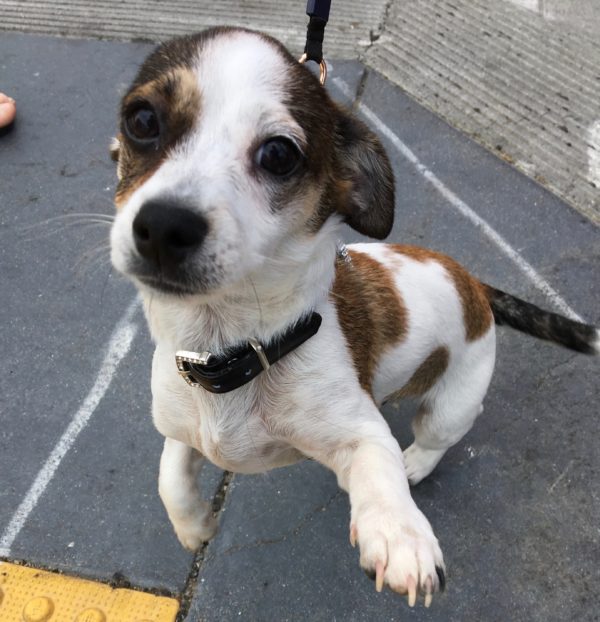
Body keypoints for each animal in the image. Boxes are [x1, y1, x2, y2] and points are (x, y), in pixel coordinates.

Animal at [109, 26, 600, 608]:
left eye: (279, 153)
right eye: (142, 120)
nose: (164, 226)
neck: (234, 350)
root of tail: (475, 286)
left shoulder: (358, 433)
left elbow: (377, 467)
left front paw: (399, 534)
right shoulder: (183, 433)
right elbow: (170, 479)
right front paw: (194, 526)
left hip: (451, 404)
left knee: (439, 434)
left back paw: (415, 463)